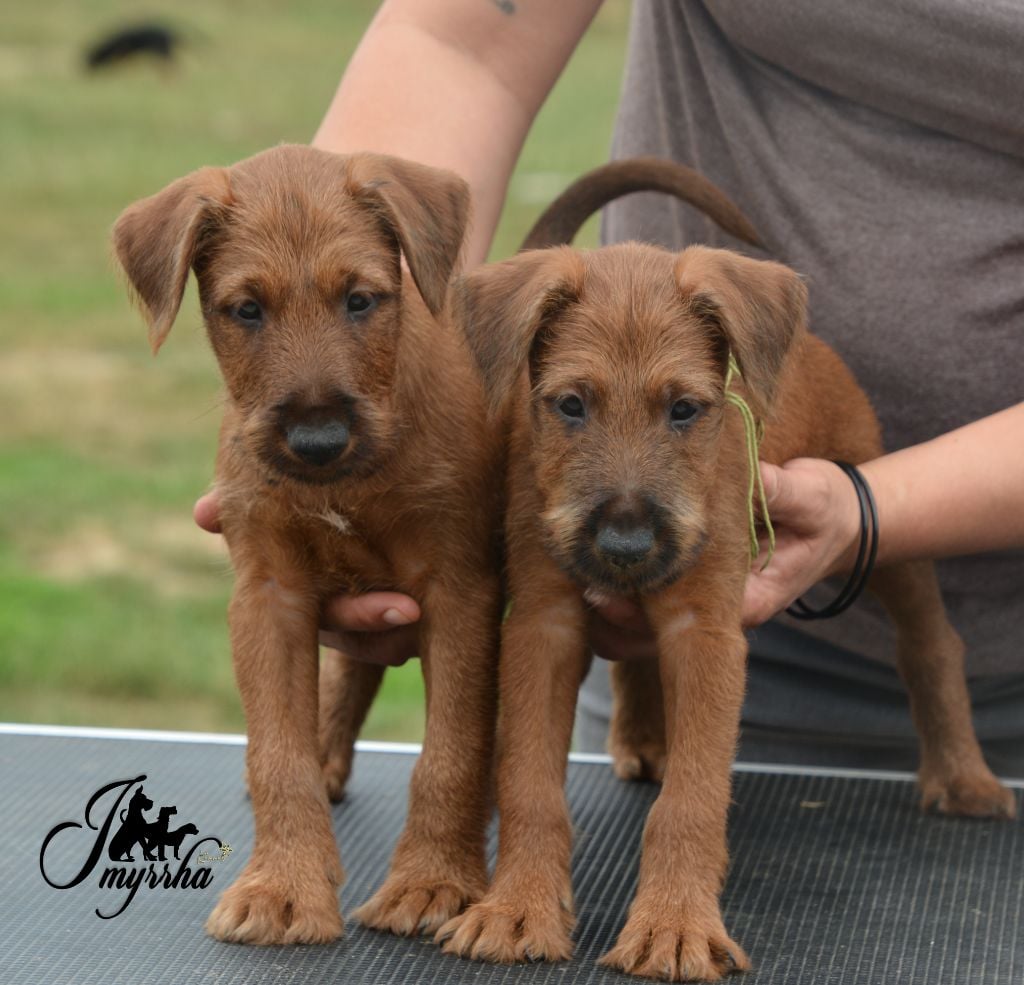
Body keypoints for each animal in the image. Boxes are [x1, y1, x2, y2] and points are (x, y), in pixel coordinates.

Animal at [113, 145, 504, 944]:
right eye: (246, 309)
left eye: (360, 300)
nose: (318, 439)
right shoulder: (270, 596)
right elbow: (278, 753)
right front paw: (285, 884)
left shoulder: (460, 591)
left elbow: (451, 749)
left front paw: (435, 880)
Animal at [436, 159, 1015, 980]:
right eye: (570, 404)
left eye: (685, 409)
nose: (624, 545)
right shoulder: (543, 626)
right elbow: (530, 784)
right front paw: (517, 906)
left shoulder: (705, 632)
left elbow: (692, 799)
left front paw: (674, 925)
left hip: (883, 532)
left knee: (931, 643)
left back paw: (963, 774)